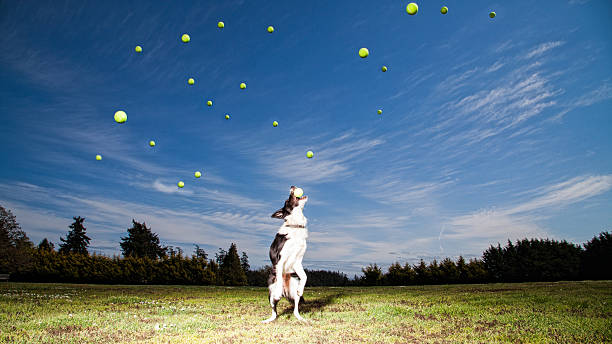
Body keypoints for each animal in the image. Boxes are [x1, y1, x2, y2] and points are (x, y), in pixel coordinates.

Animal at [264, 185, 310, 322]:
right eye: (287, 200)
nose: (292, 186)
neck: (295, 225)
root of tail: (285, 292)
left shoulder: (297, 261)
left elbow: (305, 276)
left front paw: (302, 289)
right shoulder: (280, 259)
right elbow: (279, 276)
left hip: (294, 288)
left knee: (295, 310)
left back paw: (301, 319)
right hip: (270, 291)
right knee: (274, 311)